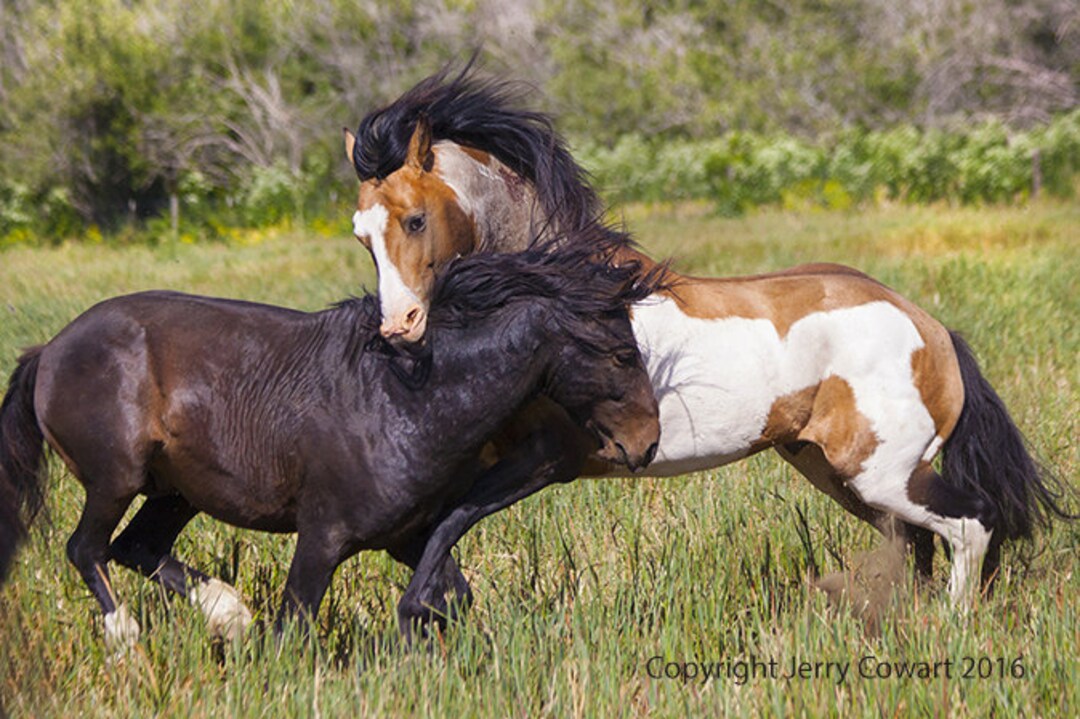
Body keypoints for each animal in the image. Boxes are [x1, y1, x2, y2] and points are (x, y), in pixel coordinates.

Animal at [0, 243, 661, 647]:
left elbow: (452, 595)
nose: (646, 444)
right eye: (621, 355)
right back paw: (129, 638)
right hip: (117, 479)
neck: (405, 399)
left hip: (176, 491)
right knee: (86, 548)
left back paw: (229, 615)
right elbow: (294, 623)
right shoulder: (323, 537)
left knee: (136, 546)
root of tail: (49, 350)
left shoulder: (404, 536)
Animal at [343, 63, 1072, 606]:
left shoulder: (550, 456)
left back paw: (949, 627)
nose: (399, 327)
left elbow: (448, 520)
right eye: (361, 235)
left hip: (884, 473)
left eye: (414, 219)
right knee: (918, 543)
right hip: (832, 469)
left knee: (969, 525)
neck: (564, 299)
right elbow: (424, 529)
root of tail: (933, 329)